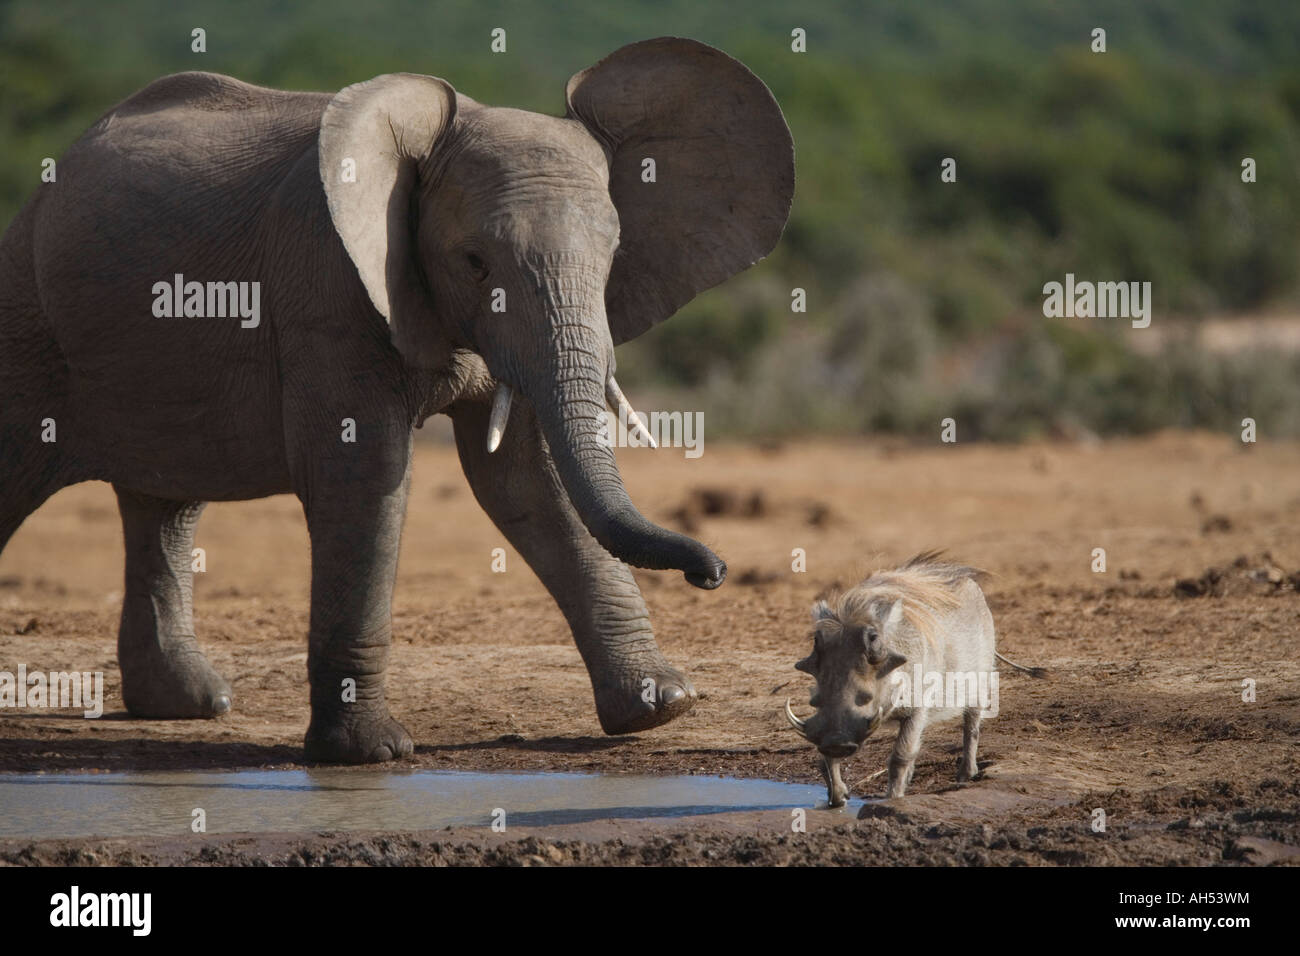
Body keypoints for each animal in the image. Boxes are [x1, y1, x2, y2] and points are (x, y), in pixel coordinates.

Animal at [0, 37, 790, 764]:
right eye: (475, 262)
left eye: (612, 259)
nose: (713, 572)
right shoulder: (327, 285)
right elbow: (366, 475)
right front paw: (370, 755)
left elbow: (525, 481)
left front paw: (662, 709)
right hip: (27, 318)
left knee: (165, 504)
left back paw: (189, 706)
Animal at [785, 554, 998, 806]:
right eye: (817, 641)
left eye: (874, 638)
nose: (837, 742)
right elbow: (825, 759)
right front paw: (838, 800)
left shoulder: (918, 708)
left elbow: (900, 756)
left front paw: (892, 800)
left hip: (980, 680)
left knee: (971, 727)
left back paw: (966, 775)